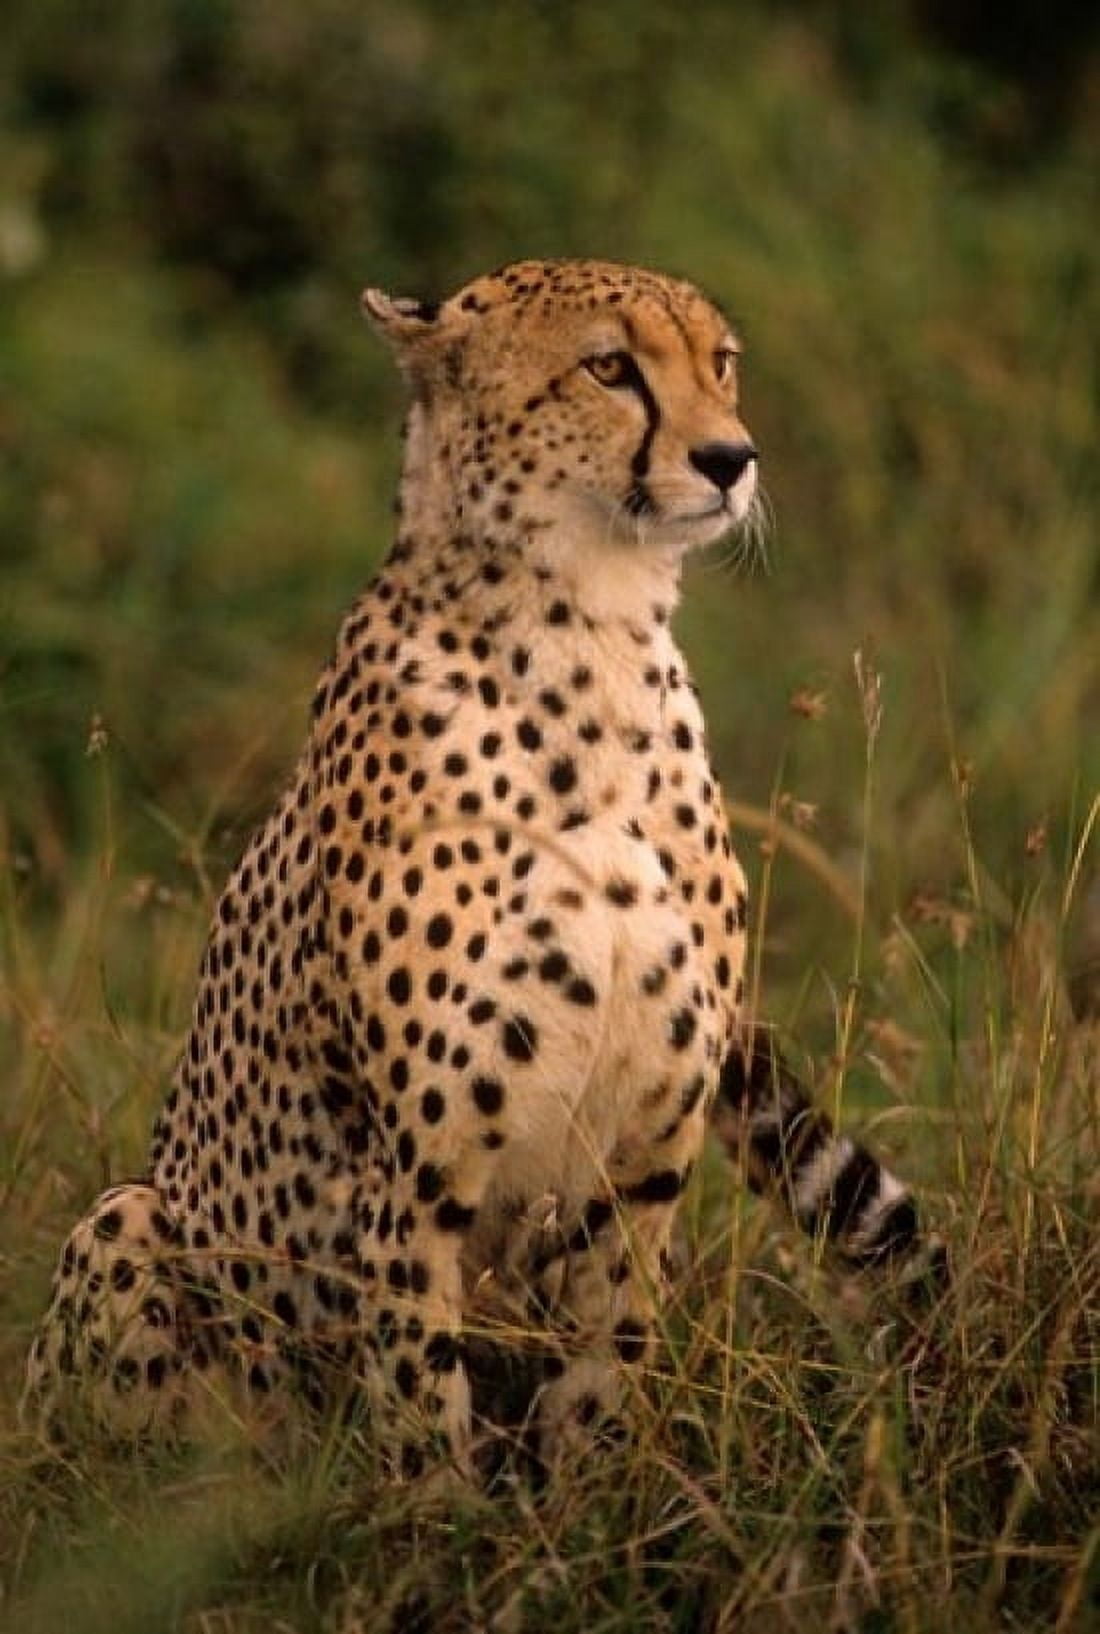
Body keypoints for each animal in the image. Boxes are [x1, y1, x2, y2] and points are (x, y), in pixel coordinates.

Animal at [24, 259, 935, 1477]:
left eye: (720, 363)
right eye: (610, 367)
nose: (729, 458)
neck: (592, 639)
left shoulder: (643, 1161)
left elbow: (604, 1367)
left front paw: (587, 1510)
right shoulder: (412, 1172)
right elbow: (419, 1394)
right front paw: (438, 1512)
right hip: (129, 1222)